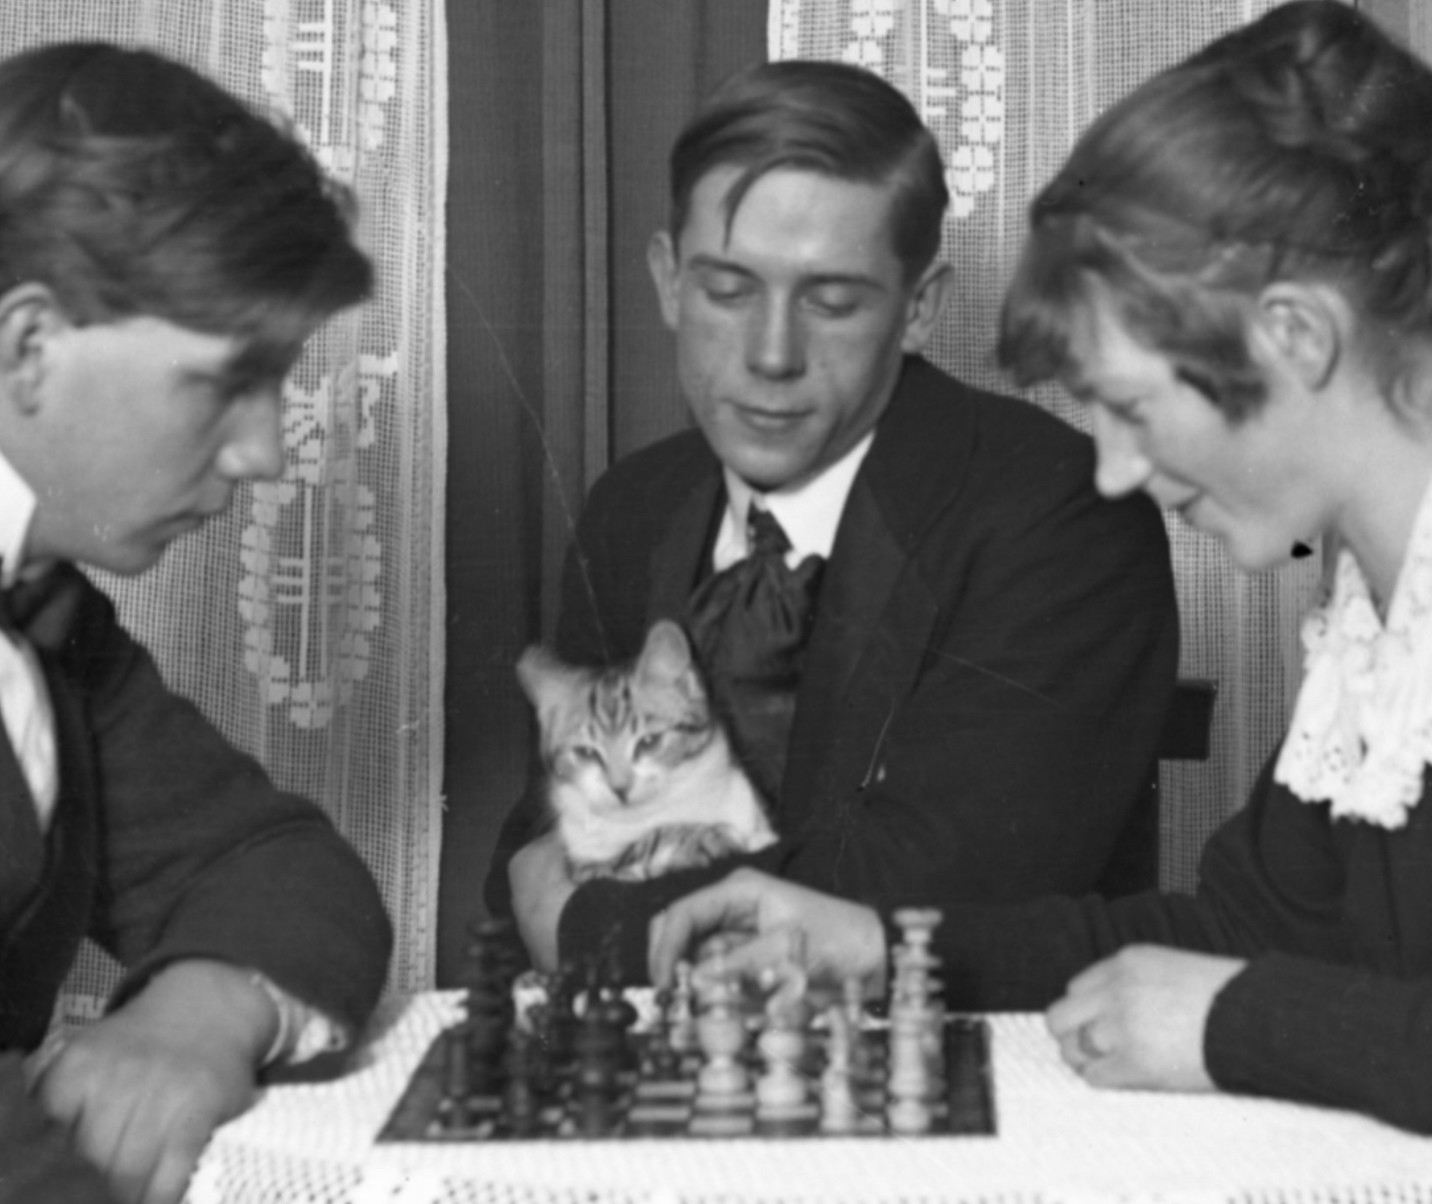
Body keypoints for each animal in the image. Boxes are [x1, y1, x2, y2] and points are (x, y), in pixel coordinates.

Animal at [521, 621, 779, 881]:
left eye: (648, 741)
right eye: (586, 753)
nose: (620, 788)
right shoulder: (589, 868)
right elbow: (641, 845)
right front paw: (703, 839)